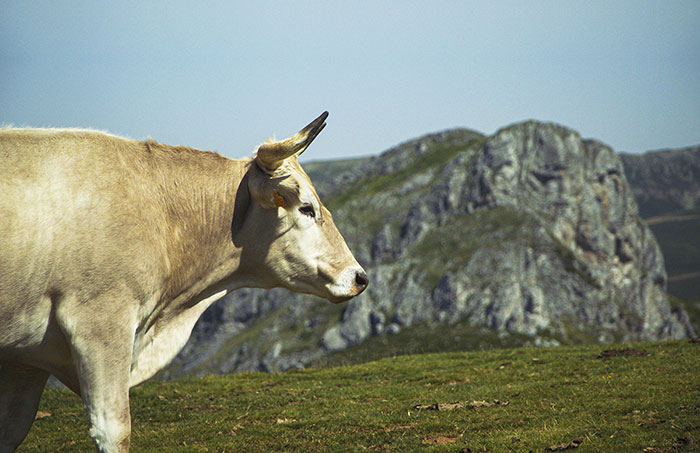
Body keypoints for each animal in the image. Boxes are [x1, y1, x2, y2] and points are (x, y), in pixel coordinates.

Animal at [0, 111, 370, 450]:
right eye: (306, 208)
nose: (360, 277)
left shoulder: (25, 357)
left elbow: (12, 430)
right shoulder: (99, 321)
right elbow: (114, 429)